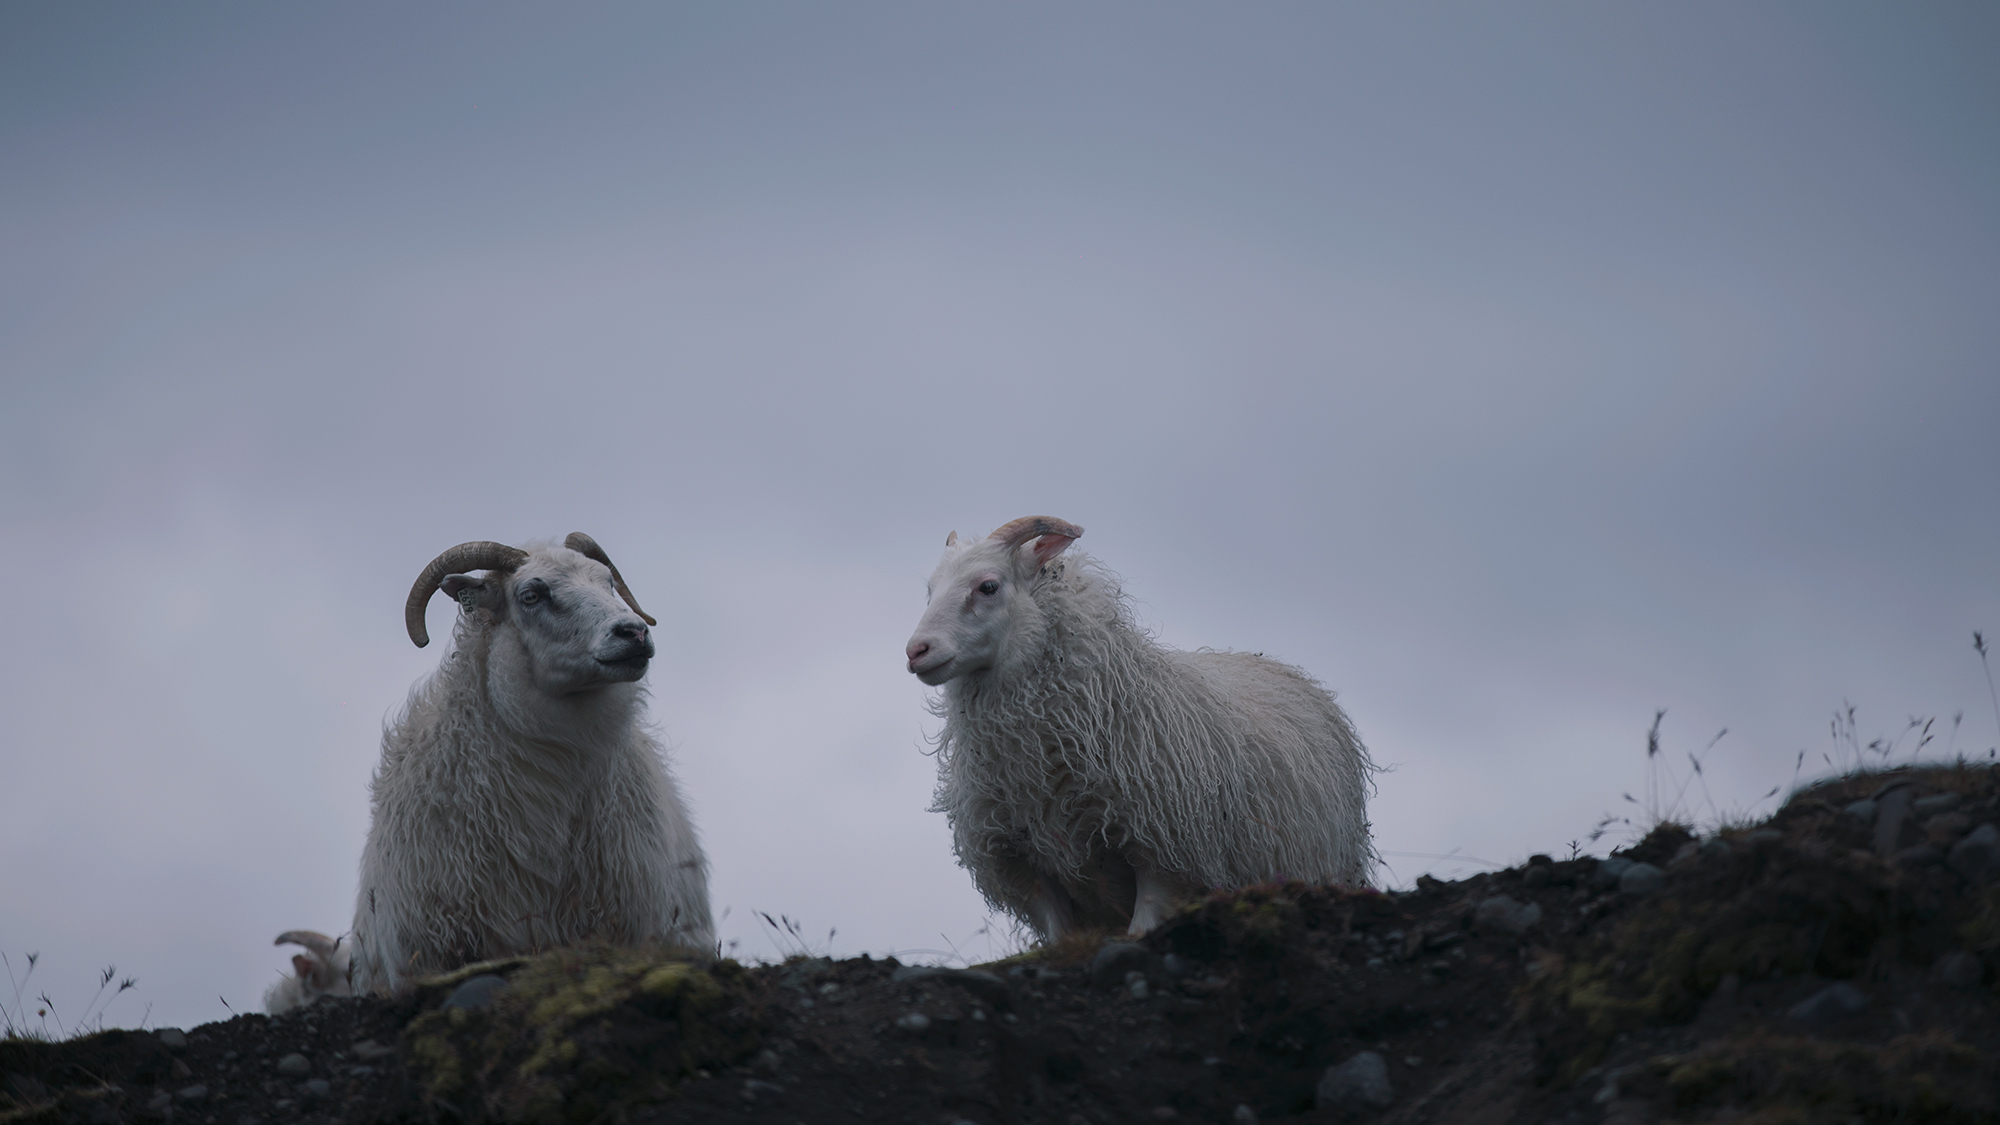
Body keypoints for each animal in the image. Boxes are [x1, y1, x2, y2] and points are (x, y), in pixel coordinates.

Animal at [908, 516, 1376, 936]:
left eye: (988, 586)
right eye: (930, 590)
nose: (916, 651)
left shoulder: (1162, 852)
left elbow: (1140, 930)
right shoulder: (1028, 869)